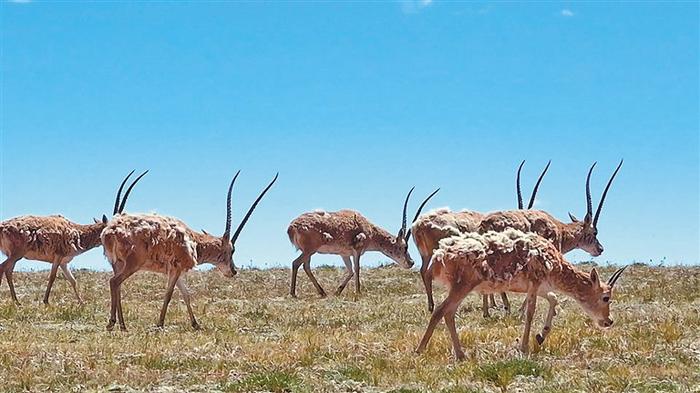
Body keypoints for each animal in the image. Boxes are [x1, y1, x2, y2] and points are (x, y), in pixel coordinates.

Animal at [0, 171, 146, 304]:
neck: (77, 231)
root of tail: (3, 227)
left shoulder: (64, 262)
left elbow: (72, 280)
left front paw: (81, 302)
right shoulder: (58, 256)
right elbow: (52, 277)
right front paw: (46, 301)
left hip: (13, 255)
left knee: (8, 271)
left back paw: (16, 301)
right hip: (17, 253)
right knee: (3, 267)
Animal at [101, 170, 276, 330]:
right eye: (232, 250)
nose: (233, 271)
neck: (194, 240)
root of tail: (110, 231)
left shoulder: (175, 272)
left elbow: (186, 295)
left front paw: (196, 324)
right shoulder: (177, 268)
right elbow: (169, 294)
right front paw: (160, 324)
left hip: (118, 264)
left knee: (117, 286)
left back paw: (122, 325)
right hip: (132, 264)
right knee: (114, 282)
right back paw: (112, 323)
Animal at [286, 188, 438, 298]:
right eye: (405, 246)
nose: (411, 262)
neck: (368, 228)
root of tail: (292, 226)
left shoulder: (344, 254)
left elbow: (351, 271)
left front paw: (338, 291)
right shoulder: (357, 251)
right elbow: (357, 269)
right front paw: (358, 292)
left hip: (309, 252)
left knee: (305, 266)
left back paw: (322, 292)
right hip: (309, 250)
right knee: (296, 263)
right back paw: (293, 293)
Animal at [410, 159, 552, 312]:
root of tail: (418, 225)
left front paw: (493, 304)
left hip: (426, 254)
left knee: (424, 271)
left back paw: (431, 305)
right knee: (428, 272)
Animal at [416, 228, 628, 360]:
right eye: (606, 297)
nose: (608, 321)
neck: (556, 266)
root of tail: (440, 256)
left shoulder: (542, 287)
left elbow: (554, 300)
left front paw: (541, 336)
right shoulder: (535, 283)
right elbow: (530, 311)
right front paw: (524, 347)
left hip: (460, 287)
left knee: (449, 313)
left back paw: (460, 355)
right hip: (463, 285)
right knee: (441, 311)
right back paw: (420, 350)